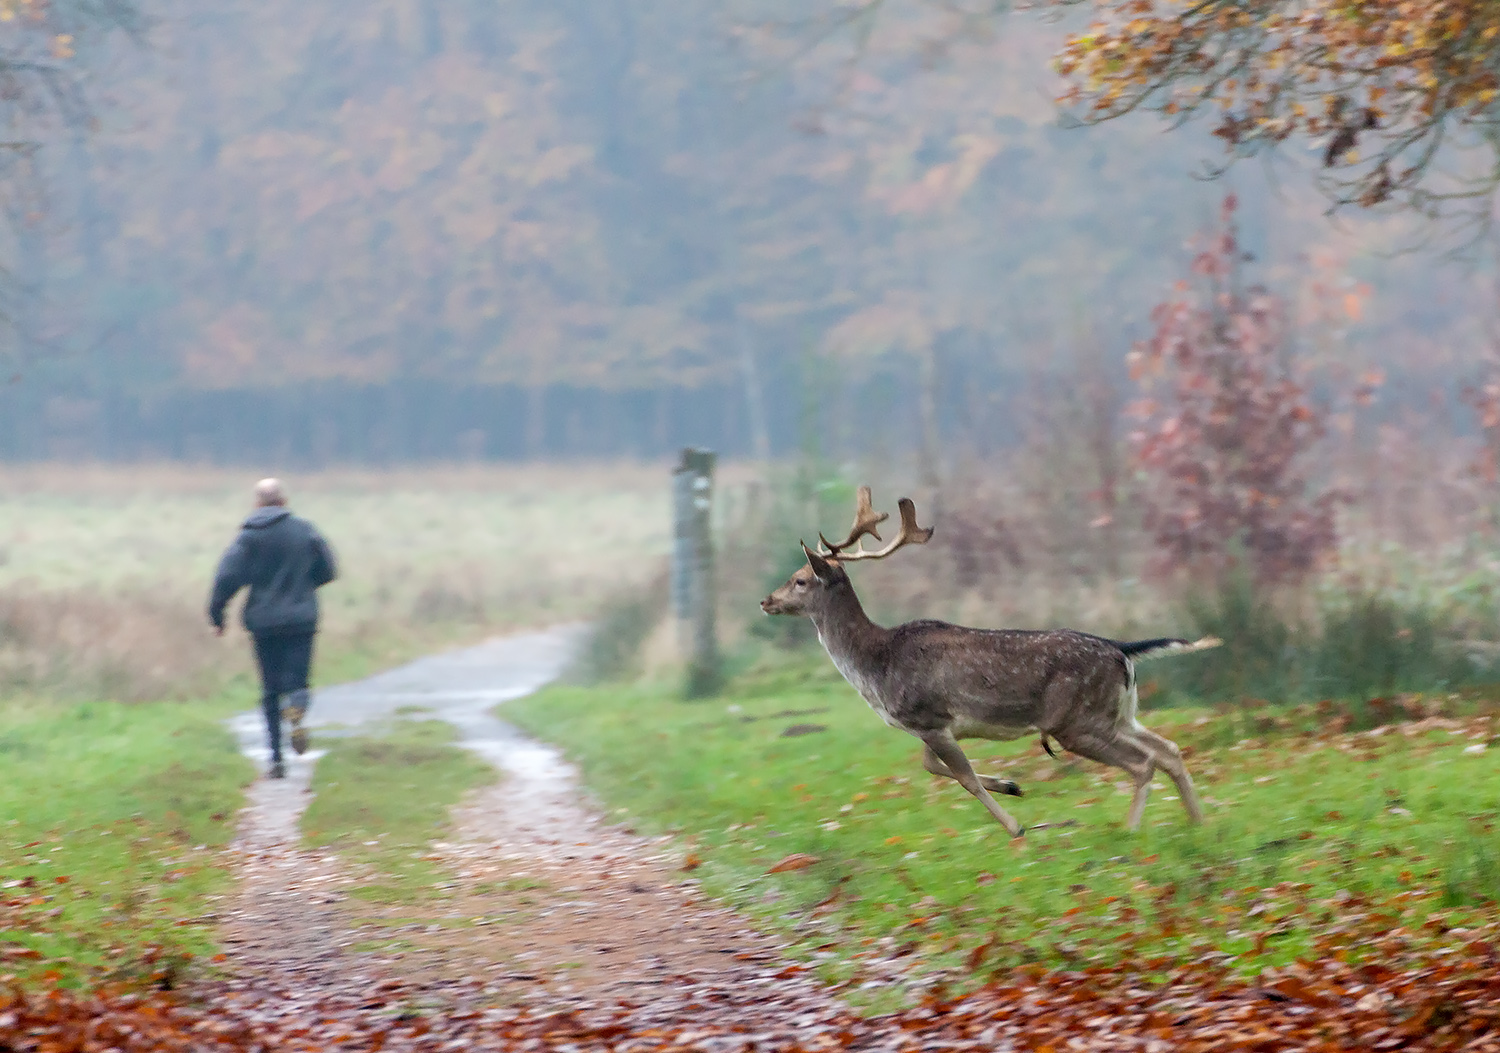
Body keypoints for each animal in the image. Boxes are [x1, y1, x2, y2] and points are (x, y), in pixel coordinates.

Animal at [762, 489, 1218, 840]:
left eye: (800, 579)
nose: (766, 601)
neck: (875, 667)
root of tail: (1122, 649)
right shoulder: (935, 725)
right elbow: (931, 766)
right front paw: (1011, 785)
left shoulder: (927, 716)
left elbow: (960, 776)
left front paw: (1016, 826)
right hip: (1120, 713)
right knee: (1169, 750)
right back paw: (1198, 822)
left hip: (1075, 720)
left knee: (1144, 762)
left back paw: (1131, 830)